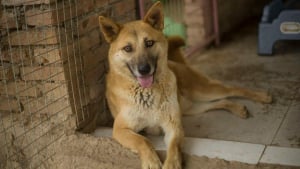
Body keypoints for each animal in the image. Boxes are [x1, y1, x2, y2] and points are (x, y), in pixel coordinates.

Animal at [99, 1, 272, 169]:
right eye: (128, 48)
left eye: (149, 43)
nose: (144, 70)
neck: (147, 92)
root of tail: (176, 63)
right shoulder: (120, 130)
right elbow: (143, 141)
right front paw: (151, 161)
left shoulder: (174, 126)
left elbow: (174, 147)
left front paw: (171, 164)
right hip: (191, 107)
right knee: (220, 102)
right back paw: (238, 108)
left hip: (203, 91)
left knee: (232, 89)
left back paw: (262, 96)